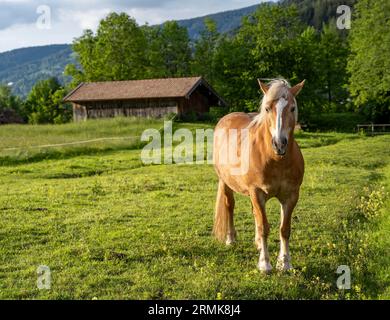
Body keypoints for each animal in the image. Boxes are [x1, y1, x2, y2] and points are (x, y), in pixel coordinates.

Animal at [212, 77, 306, 272]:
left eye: (292, 108)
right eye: (267, 108)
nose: (279, 144)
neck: (275, 160)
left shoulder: (291, 195)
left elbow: (284, 229)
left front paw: (285, 262)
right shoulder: (257, 192)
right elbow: (264, 227)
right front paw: (265, 264)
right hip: (225, 182)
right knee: (229, 206)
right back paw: (230, 238)